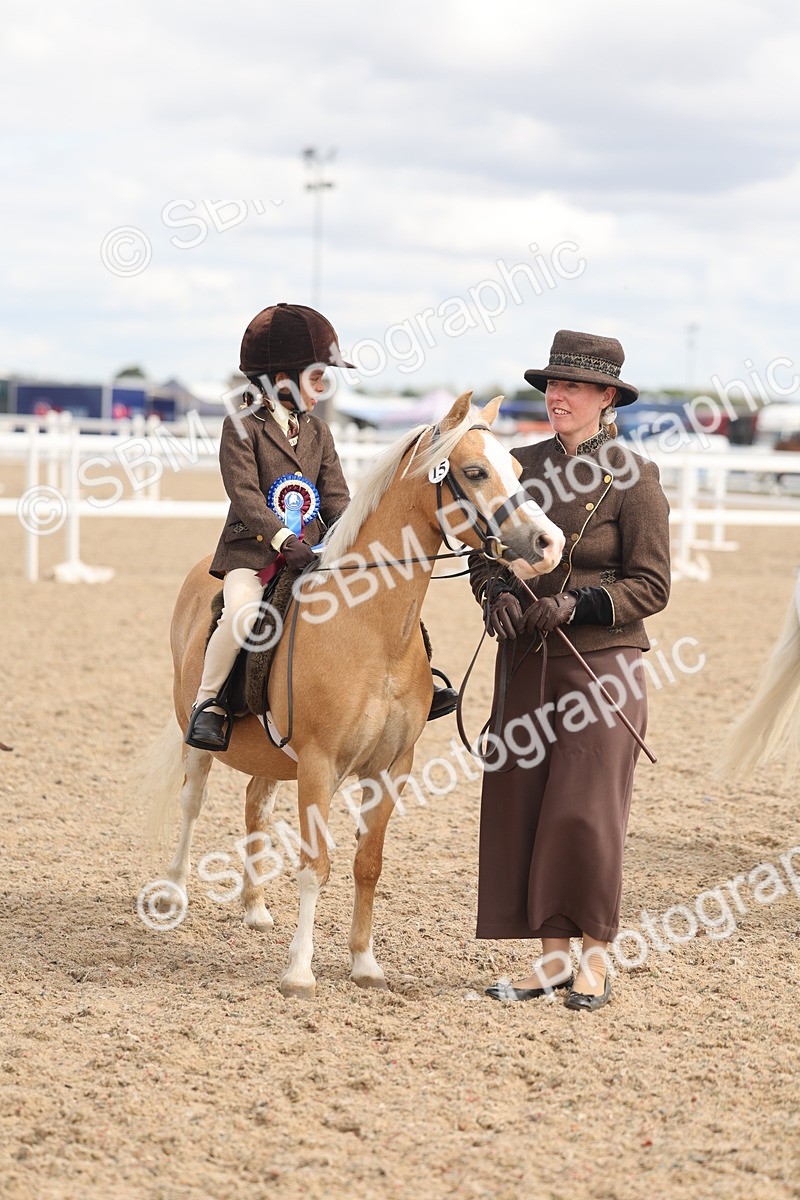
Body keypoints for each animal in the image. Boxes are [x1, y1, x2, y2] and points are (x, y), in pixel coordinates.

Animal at [143, 391, 565, 998]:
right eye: (475, 471)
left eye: (514, 466)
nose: (548, 545)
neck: (370, 628)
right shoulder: (320, 764)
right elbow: (315, 865)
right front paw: (299, 972)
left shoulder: (390, 767)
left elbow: (369, 864)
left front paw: (365, 964)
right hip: (196, 734)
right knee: (192, 800)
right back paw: (174, 893)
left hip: (276, 756)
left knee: (255, 804)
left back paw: (254, 907)